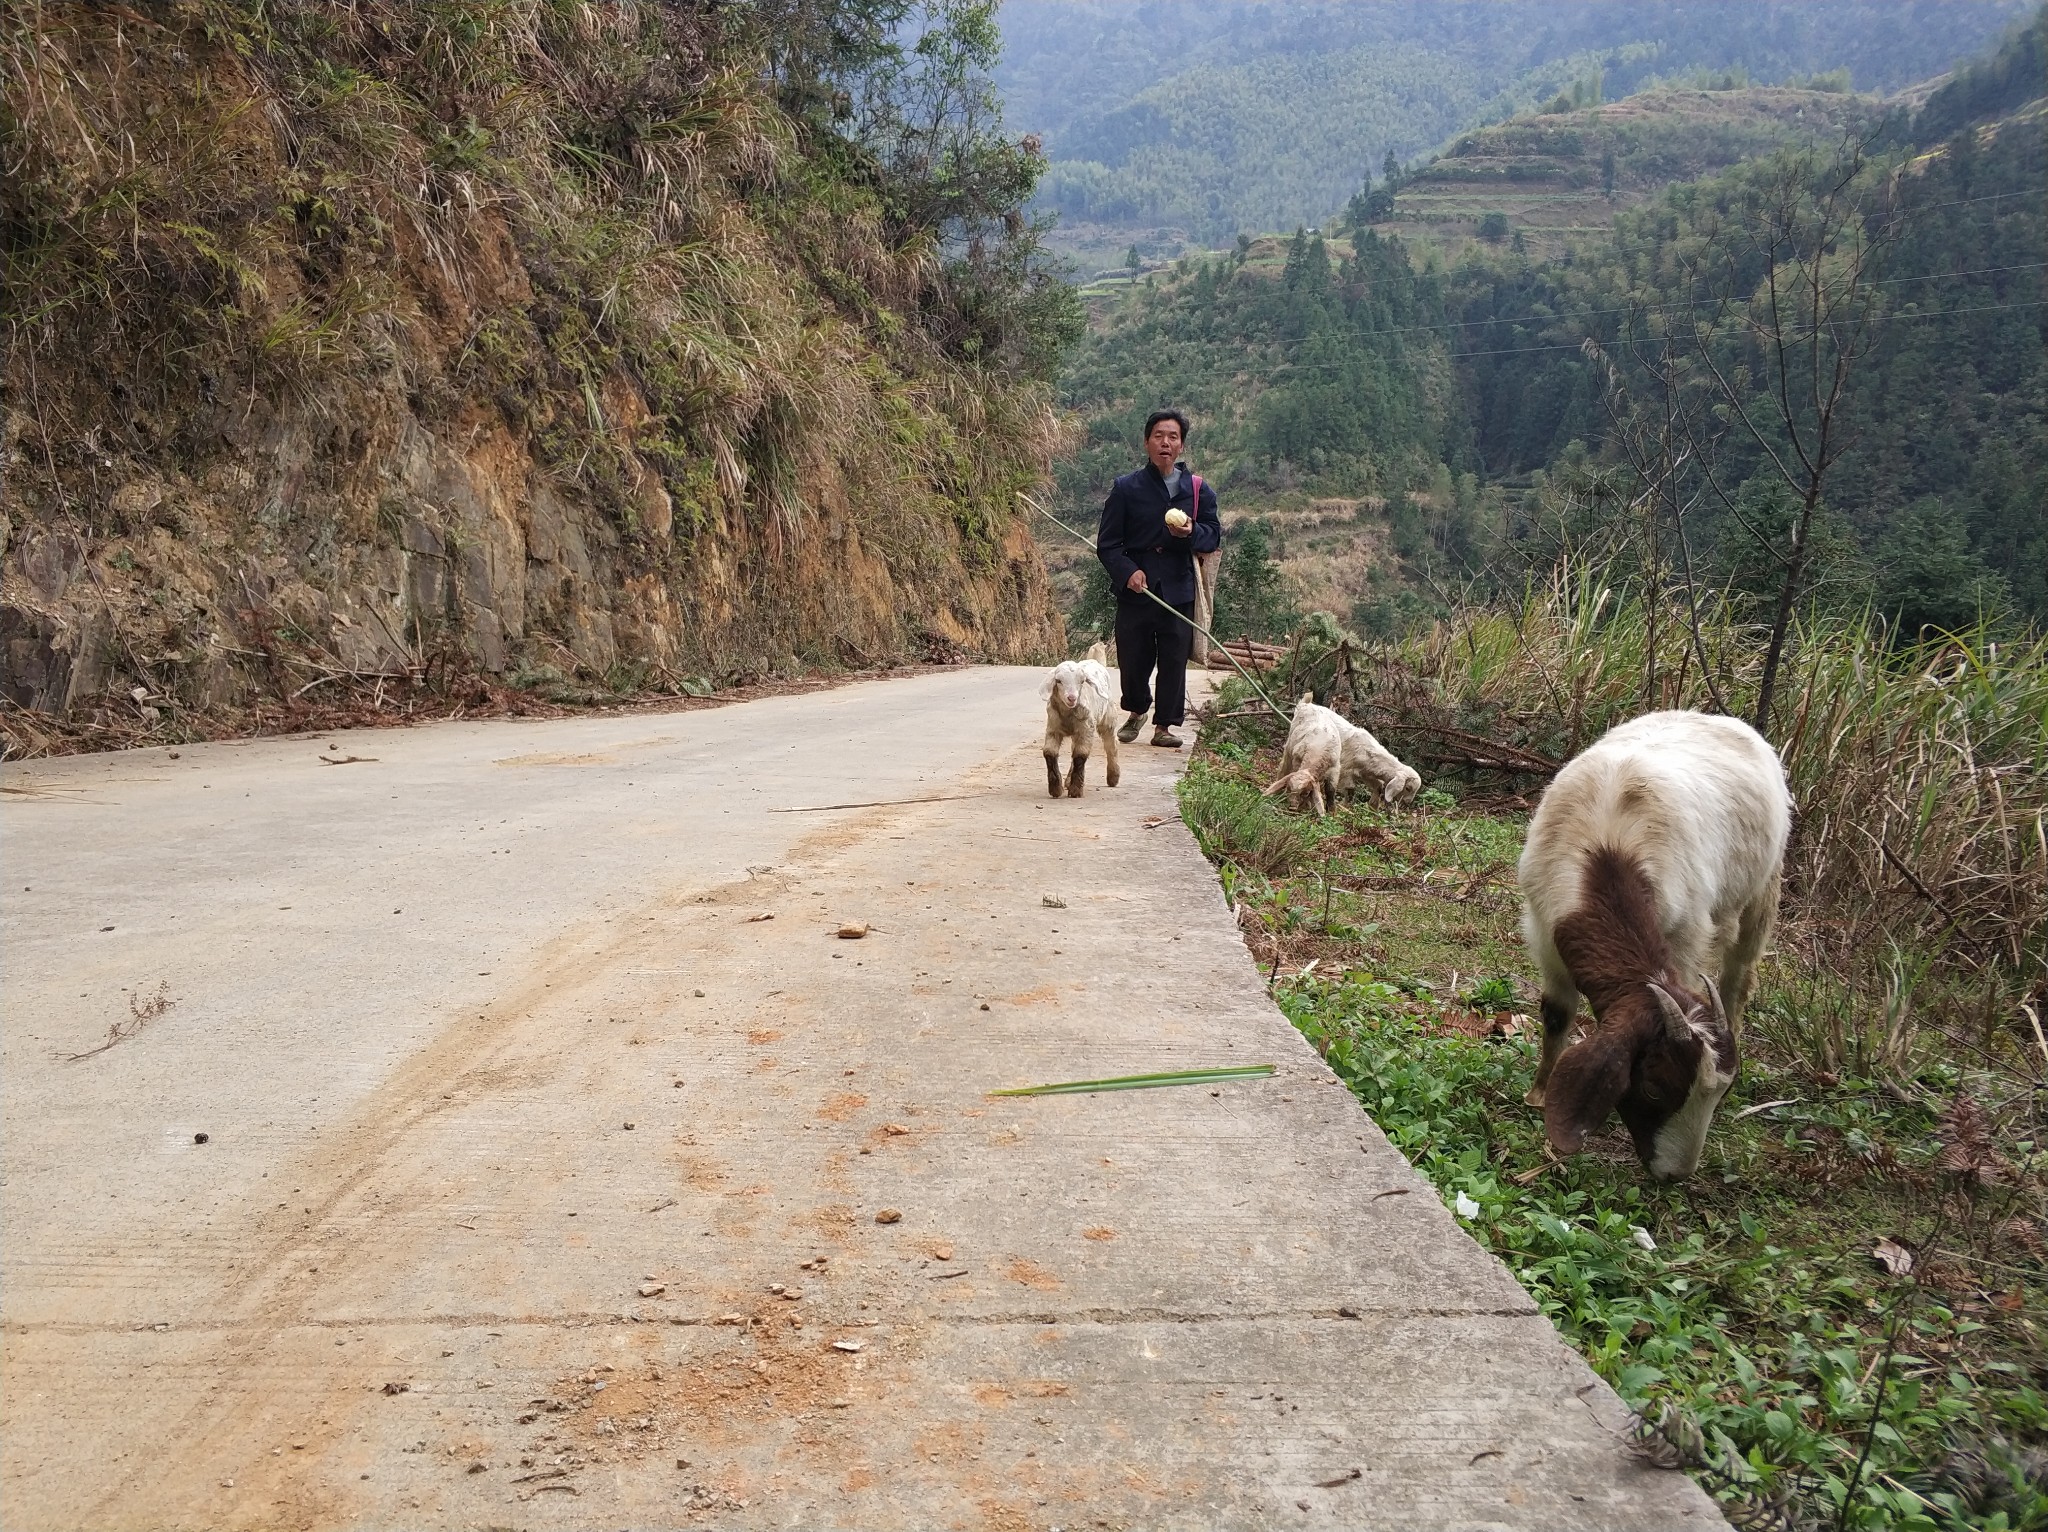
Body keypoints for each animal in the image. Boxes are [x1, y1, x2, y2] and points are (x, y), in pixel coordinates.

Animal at [1040, 639, 1122, 794]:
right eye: (1058, 681)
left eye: (1082, 681)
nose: (1072, 698)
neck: (1068, 713)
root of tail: (1095, 662)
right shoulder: (1053, 727)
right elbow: (1049, 752)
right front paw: (1056, 789)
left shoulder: (1086, 728)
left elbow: (1081, 754)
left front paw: (1075, 790)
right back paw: (1067, 780)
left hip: (1107, 717)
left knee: (1111, 744)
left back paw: (1113, 777)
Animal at [1261, 696, 1425, 815]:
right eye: (1408, 788)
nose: (1407, 804)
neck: (1367, 751)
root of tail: (1305, 705)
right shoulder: (1346, 770)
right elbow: (1351, 790)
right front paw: (1346, 809)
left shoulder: (1366, 774)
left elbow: (1378, 786)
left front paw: (1373, 808)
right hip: (1290, 745)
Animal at [1523, 712, 1794, 1179]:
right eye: (1652, 1089)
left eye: (1715, 1095)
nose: (1675, 1175)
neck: (1607, 848)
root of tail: (1719, 718)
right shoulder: (1545, 931)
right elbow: (1557, 1014)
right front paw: (1539, 1094)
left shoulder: (1685, 937)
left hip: (1765, 883)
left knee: (1739, 975)